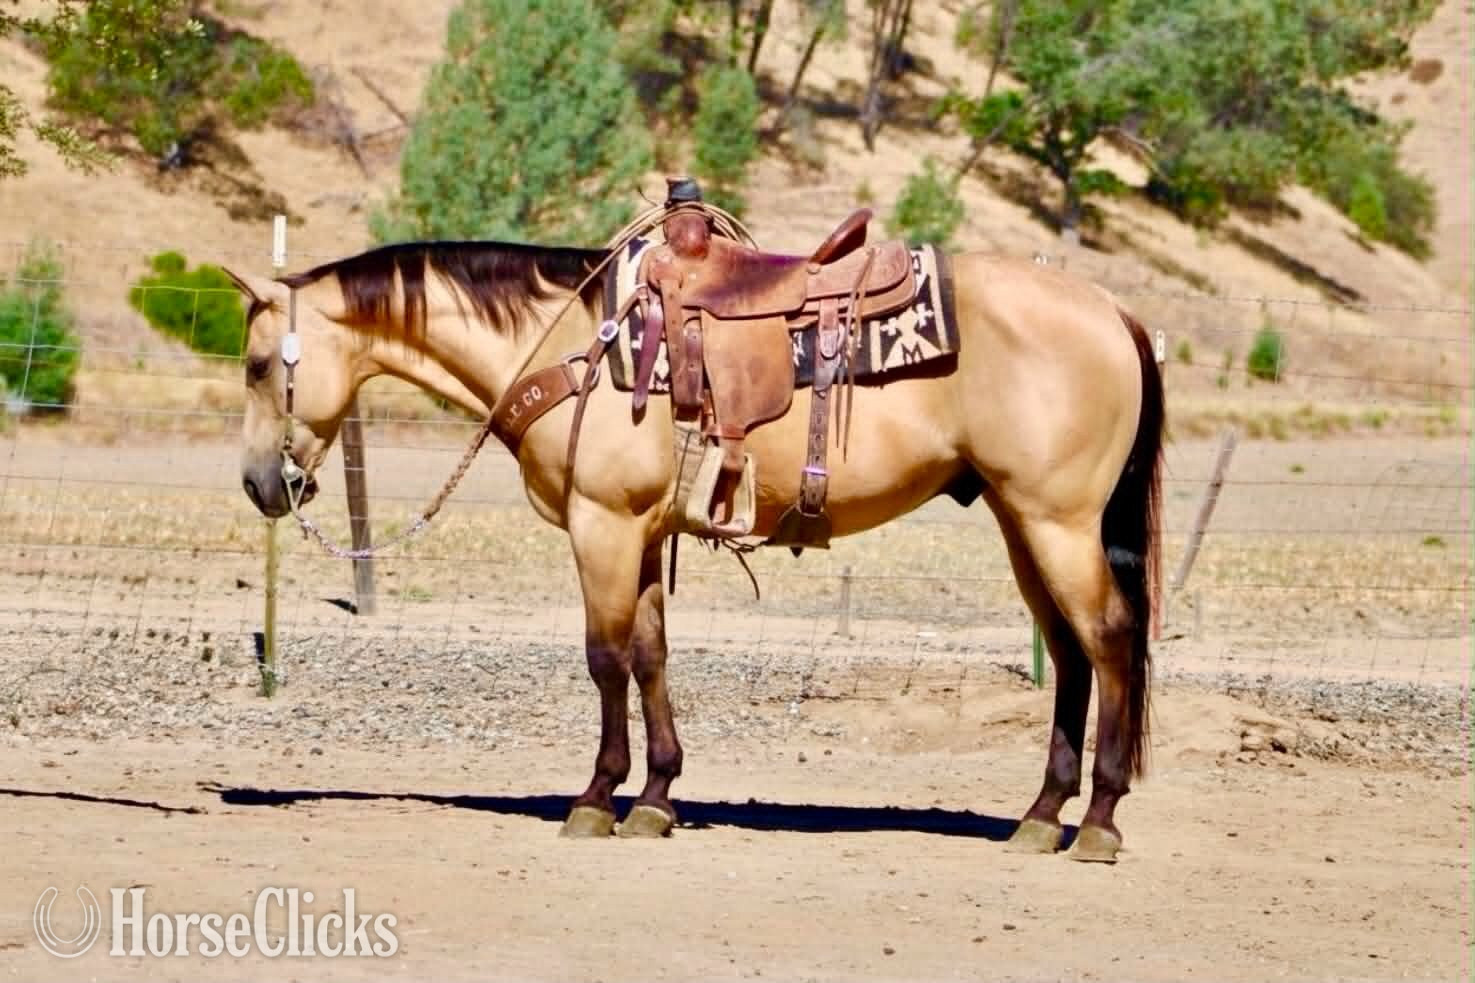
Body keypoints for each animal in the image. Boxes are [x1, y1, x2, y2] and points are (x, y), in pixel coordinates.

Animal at [223, 220, 1164, 864]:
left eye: (259, 364)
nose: (261, 483)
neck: (577, 346)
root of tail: (1115, 310)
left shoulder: (601, 525)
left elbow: (605, 657)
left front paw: (596, 797)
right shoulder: (638, 531)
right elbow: (650, 654)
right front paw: (656, 796)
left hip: (1055, 520)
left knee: (1109, 637)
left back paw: (1099, 820)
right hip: (1019, 520)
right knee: (1069, 653)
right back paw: (1040, 816)